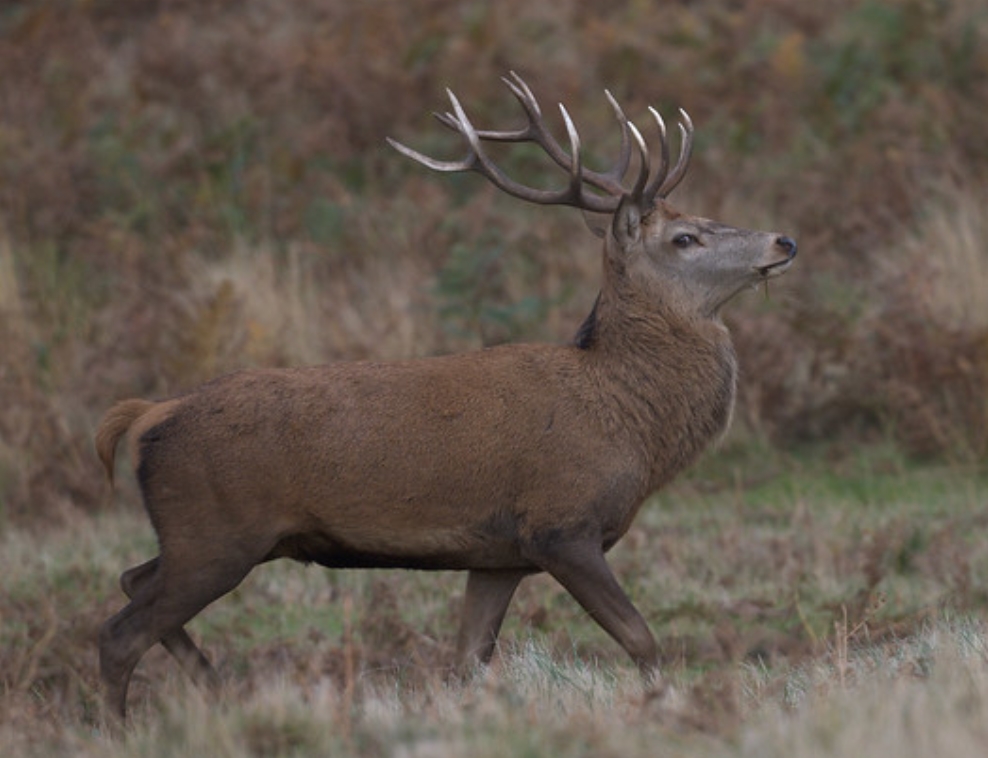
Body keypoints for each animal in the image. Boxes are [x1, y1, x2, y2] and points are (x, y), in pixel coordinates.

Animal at [95, 72, 796, 719]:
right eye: (685, 238)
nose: (783, 240)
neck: (630, 422)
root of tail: (152, 416)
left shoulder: (498, 554)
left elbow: (468, 662)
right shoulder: (561, 524)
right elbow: (642, 640)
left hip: (205, 537)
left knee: (132, 582)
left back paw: (216, 691)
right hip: (214, 532)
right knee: (120, 633)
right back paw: (122, 727)